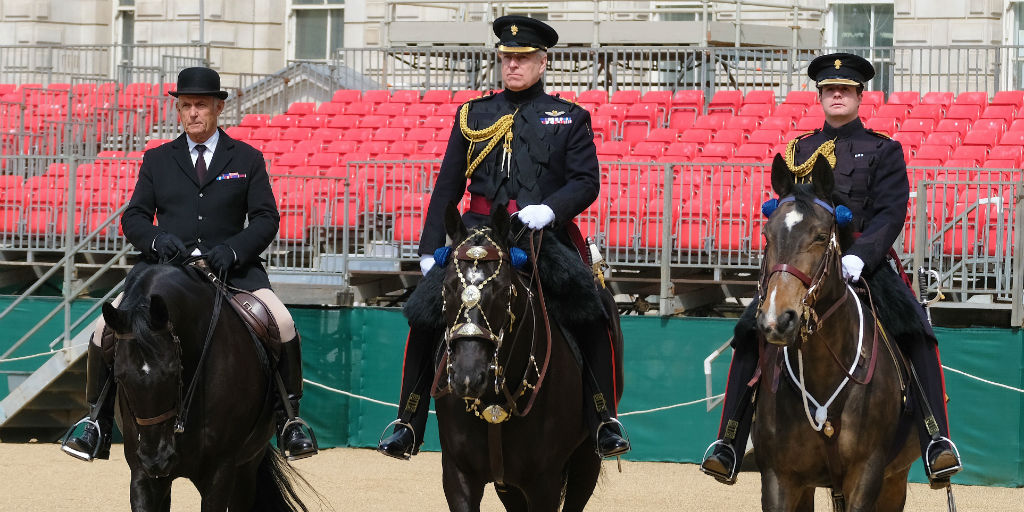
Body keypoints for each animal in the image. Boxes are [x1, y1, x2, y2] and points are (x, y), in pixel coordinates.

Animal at [104, 262, 311, 509]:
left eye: (174, 371)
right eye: (119, 377)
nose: (155, 459)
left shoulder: (219, 471)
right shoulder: (142, 474)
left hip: (246, 467)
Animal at [432, 205, 606, 512]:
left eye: (503, 291)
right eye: (448, 287)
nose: (467, 377)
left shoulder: (544, 482)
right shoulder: (458, 475)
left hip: (586, 458)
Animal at [753, 155, 921, 512]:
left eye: (819, 236)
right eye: (767, 234)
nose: (777, 319)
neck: (822, 371)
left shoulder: (867, 474)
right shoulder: (779, 478)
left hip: (895, 479)